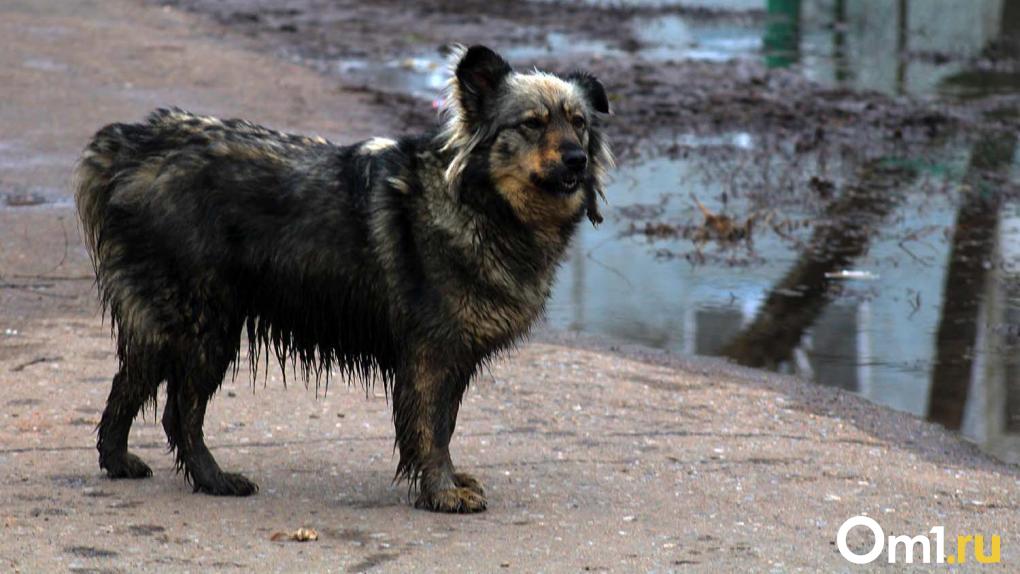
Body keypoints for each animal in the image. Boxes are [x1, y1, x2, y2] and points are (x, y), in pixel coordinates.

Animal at [75, 43, 612, 511]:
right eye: (531, 124)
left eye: (579, 123)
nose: (577, 159)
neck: (481, 203)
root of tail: (132, 145)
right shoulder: (431, 352)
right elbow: (432, 430)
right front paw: (441, 492)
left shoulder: (452, 356)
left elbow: (444, 424)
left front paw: (446, 482)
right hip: (205, 324)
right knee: (179, 410)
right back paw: (214, 479)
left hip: (172, 323)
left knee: (130, 384)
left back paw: (118, 461)